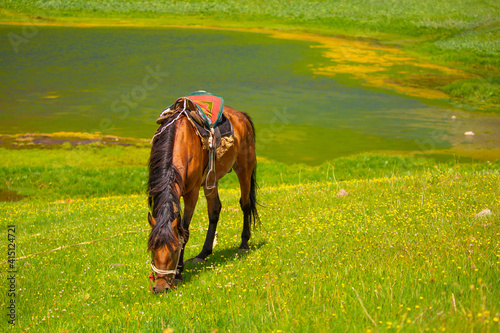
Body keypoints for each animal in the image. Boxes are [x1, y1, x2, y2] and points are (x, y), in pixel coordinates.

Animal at [147, 100, 260, 292]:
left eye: (174, 250)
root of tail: (242, 116)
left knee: (245, 204)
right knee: (215, 210)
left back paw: (244, 244)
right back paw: (203, 254)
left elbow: (184, 231)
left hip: (244, 169)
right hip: (211, 180)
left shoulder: (191, 192)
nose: (161, 287)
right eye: (152, 250)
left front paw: (179, 273)